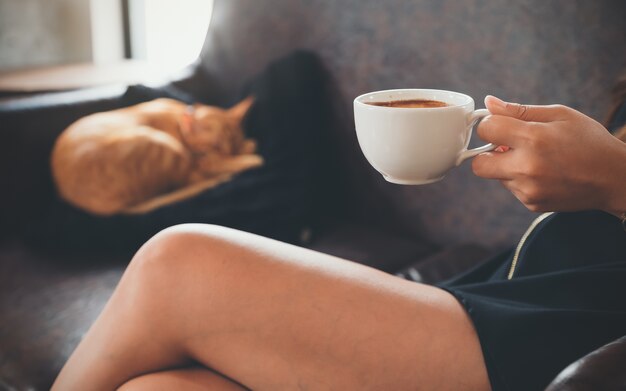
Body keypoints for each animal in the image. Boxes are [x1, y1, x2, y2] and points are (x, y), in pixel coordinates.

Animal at [50, 96, 260, 216]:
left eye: (233, 145)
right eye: (216, 148)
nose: (230, 154)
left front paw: (246, 147)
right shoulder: (200, 160)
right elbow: (214, 166)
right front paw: (247, 156)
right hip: (161, 143)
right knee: (195, 179)